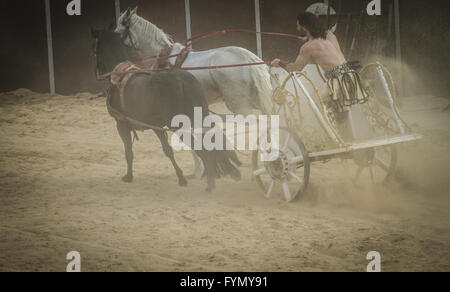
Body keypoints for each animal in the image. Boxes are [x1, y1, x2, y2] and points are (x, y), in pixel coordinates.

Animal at [89, 29, 241, 192]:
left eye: (95, 49)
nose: (97, 73)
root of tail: (183, 81)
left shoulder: (121, 124)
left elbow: (128, 151)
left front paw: (128, 176)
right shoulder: (156, 126)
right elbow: (167, 150)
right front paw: (181, 178)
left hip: (178, 126)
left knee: (201, 149)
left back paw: (210, 183)